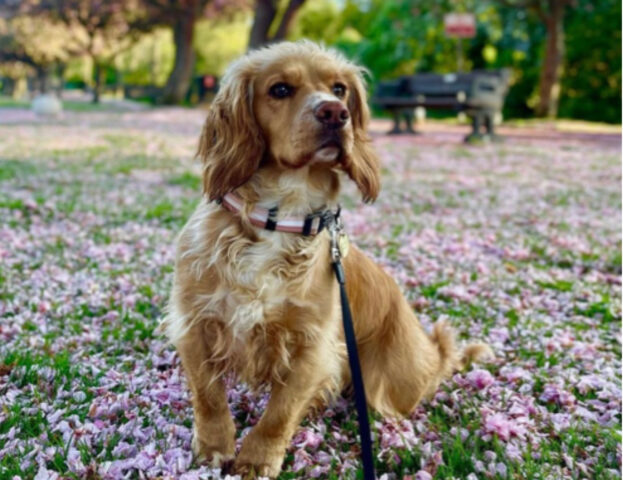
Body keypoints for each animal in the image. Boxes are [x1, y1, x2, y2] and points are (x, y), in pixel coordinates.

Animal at [165, 40, 492, 476]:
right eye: (280, 89)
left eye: (339, 89)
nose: (335, 113)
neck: (280, 215)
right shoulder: (195, 321)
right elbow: (209, 396)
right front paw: (215, 446)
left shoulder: (313, 345)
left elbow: (279, 413)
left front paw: (256, 460)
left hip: (389, 385)